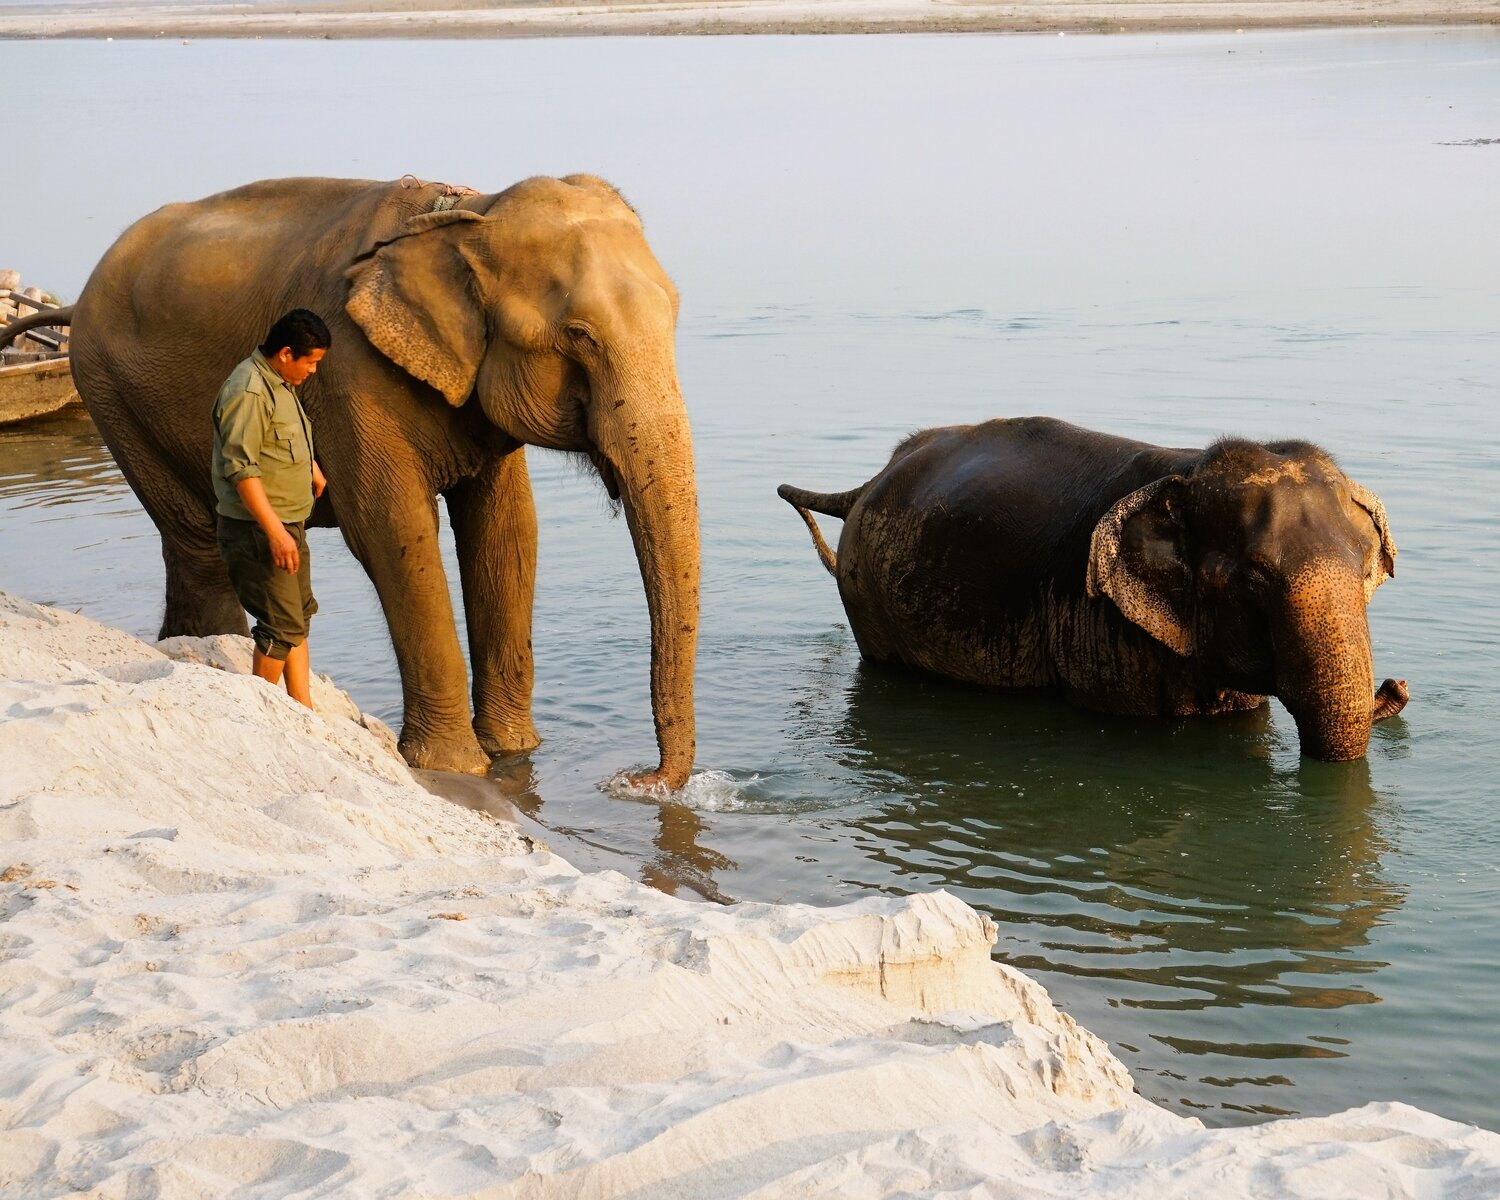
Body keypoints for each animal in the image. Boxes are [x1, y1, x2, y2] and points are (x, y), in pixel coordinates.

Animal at [0, 171, 699, 786]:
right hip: (111, 392)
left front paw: (514, 753)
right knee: (199, 546)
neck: (468, 214)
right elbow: (393, 527)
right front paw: (458, 769)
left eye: (675, 316)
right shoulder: (350, 375)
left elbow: (507, 531)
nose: (642, 782)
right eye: (579, 337)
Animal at [780, 417, 1410, 765]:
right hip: (867, 597)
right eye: (1253, 578)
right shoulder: (1096, 622)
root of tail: (866, 484)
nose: (1396, 684)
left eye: (1365, 573)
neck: (1186, 471)